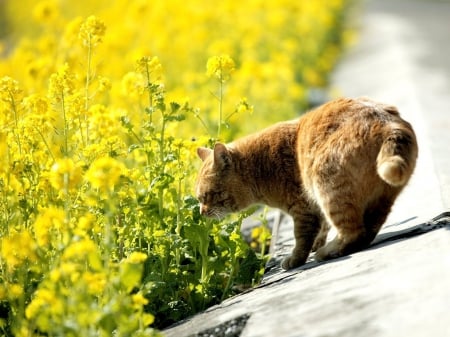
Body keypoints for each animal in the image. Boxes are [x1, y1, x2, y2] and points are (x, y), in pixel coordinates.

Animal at [196, 96, 418, 268]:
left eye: (209, 196)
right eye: (198, 199)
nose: (202, 212)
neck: (260, 166)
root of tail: (389, 123)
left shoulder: (303, 209)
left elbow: (302, 238)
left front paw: (296, 258)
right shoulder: (314, 208)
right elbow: (322, 227)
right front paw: (317, 243)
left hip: (327, 187)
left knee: (353, 232)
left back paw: (327, 252)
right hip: (379, 200)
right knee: (368, 230)